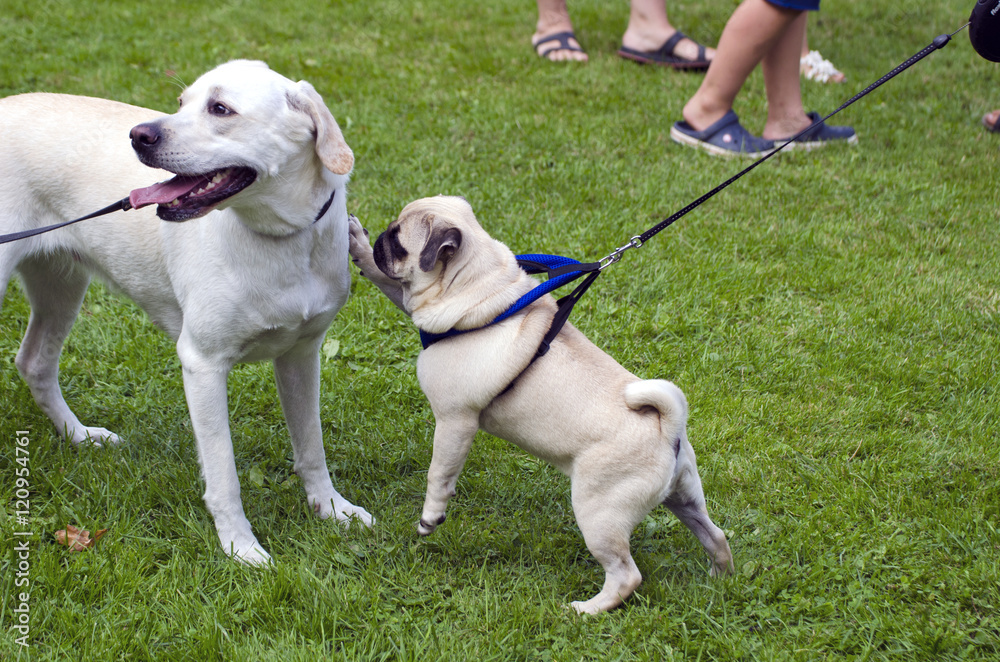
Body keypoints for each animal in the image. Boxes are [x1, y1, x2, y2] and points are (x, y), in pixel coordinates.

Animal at [0, 61, 372, 564]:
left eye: (220, 109)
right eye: (181, 103)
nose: (139, 135)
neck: (281, 239)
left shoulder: (301, 355)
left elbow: (311, 446)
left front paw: (331, 507)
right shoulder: (203, 365)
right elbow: (224, 473)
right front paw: (239, 546)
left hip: (61, 283)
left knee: (35, 362)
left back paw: (79, 435)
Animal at [348, 198, 732, 616]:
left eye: (398, 240)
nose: (381, 236)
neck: (479, 288)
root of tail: (668, 428)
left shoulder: (455, 422)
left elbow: (439, 474)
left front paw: (430, 518)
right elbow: (383, 279)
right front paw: (358, 245)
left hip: (598, 512)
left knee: (626, 575)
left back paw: (586, 610)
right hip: (685, 495)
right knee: (716, 536)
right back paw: (719, 580)